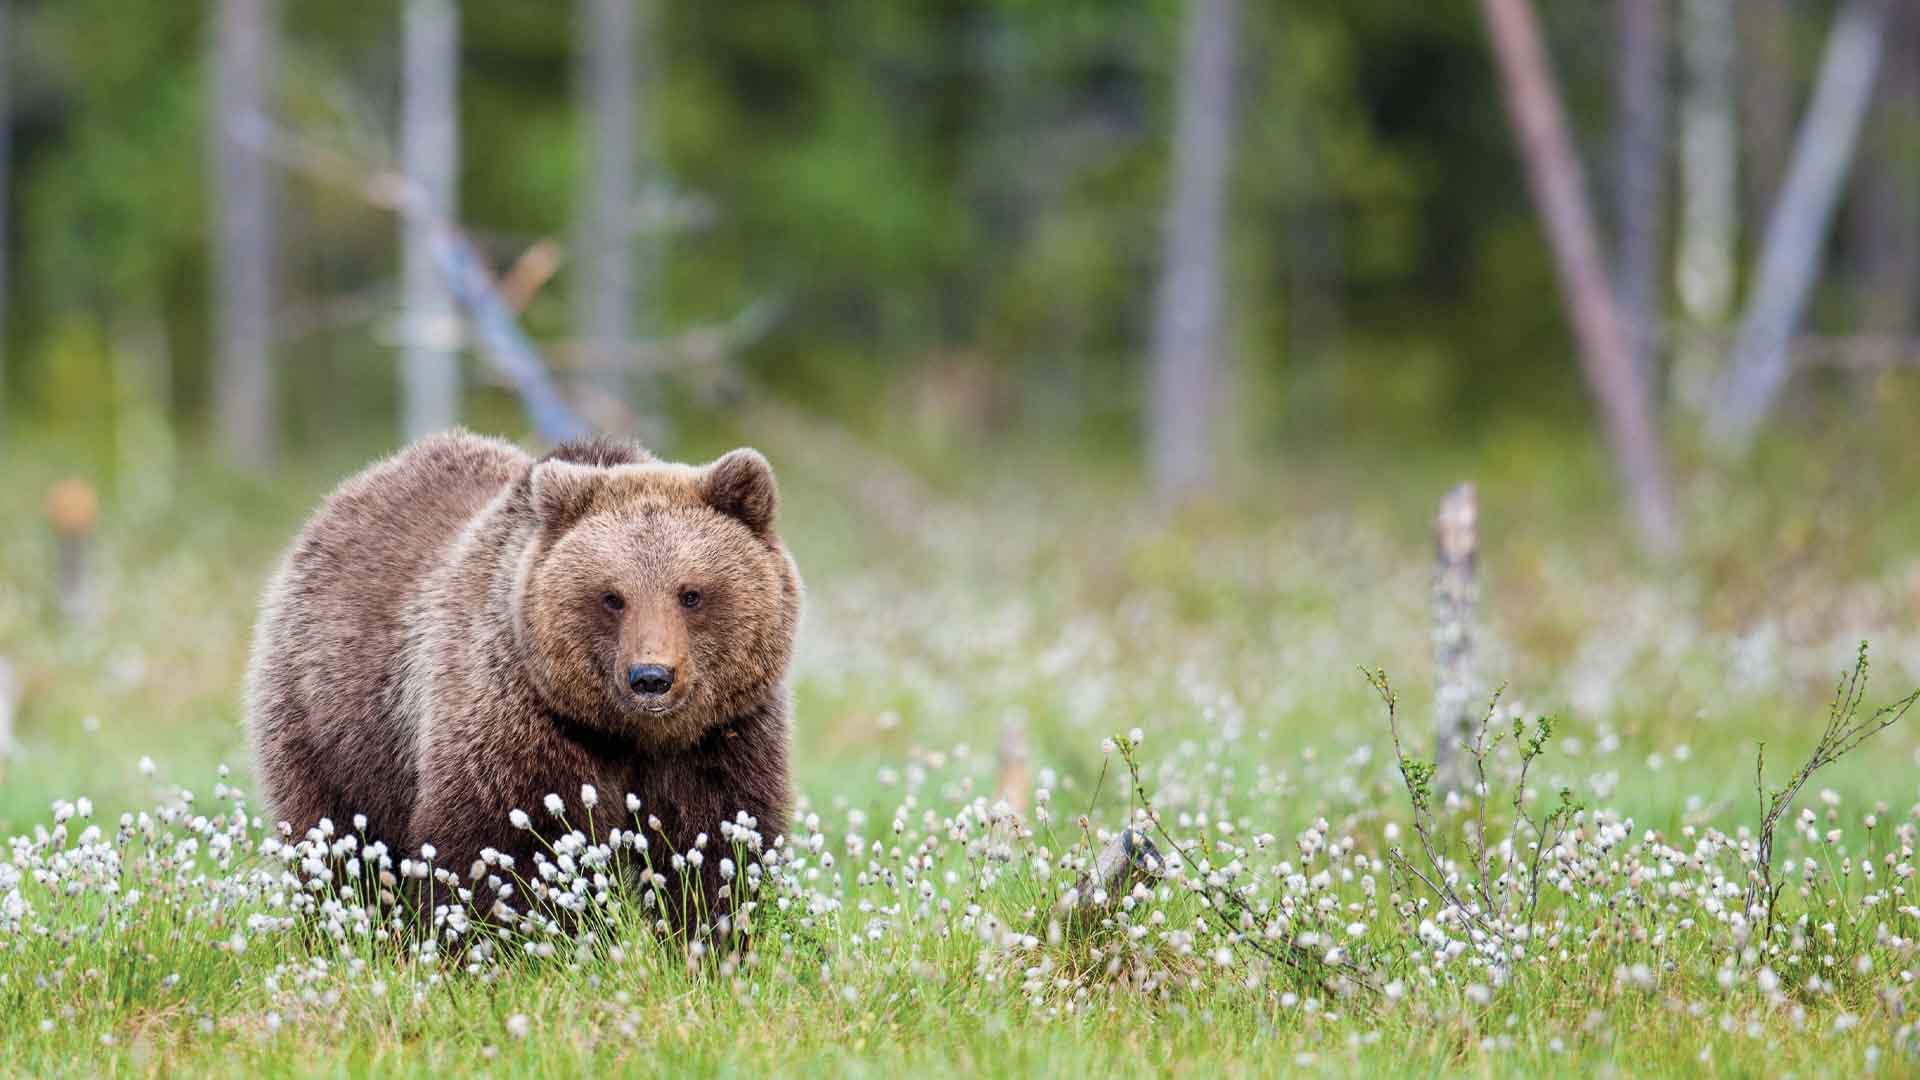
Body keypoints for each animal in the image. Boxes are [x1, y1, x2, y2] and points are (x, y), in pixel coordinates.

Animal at [243, 428, 798, 926]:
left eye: (691, 593)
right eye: (612, 596)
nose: (651, 677)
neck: (631, 735)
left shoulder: (718, 737)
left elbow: (715, 843)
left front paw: (710, 937)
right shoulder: (518, 722)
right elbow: (500, 848)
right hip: (334, 720)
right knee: (335, 841)